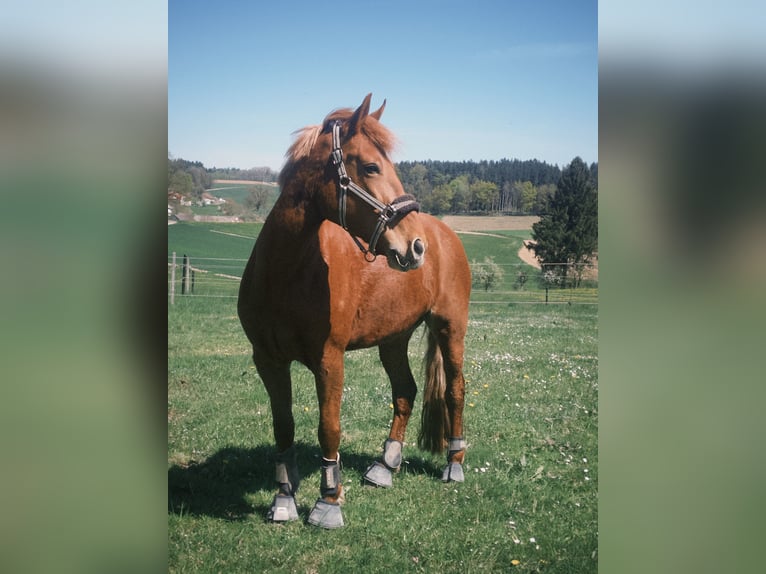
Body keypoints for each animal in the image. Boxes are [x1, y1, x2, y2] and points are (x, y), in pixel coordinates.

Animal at [237, 94, 471, 528]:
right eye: (371, 166)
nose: (416, 246)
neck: (285, 273)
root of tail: (445, 234)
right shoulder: (268, 361)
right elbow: (283, 426)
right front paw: (284, 498)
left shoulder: (329, 360)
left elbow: (328, 428)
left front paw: (328, 501)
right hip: (393, 339)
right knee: (405, 392)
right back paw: (385, 466)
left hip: (450, 329)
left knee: (455, 391)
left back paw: (455, 463)